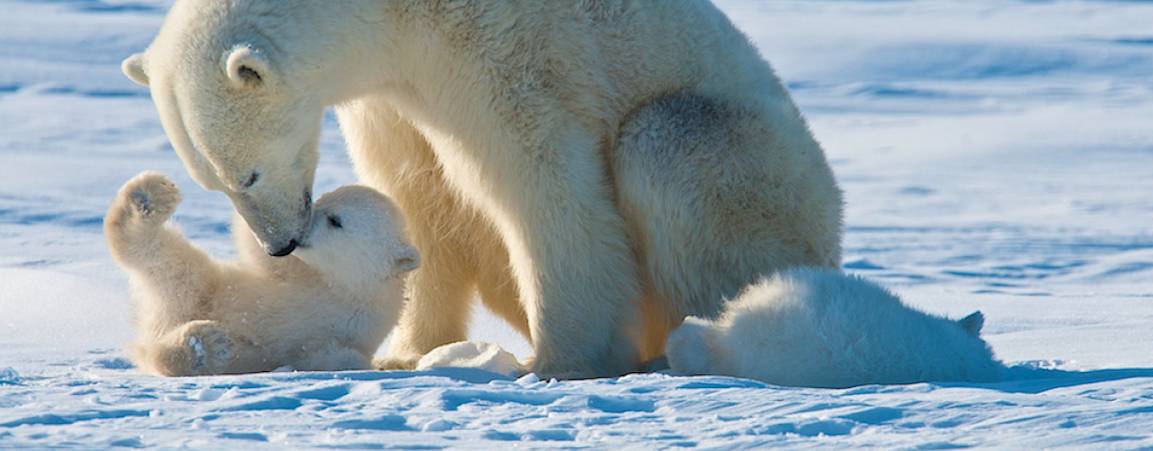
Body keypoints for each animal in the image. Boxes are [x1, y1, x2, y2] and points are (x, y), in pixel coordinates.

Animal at [104, 172, 419, 376]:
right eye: (321, 201)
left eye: (335, 220)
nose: (299, 228)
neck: (349, 287)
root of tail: (155, 326)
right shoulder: (301, 276)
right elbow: (263, 257)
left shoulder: (354, 324)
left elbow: (332, 355)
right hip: (204, 284)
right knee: (157, 254)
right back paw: (148, 197)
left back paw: (206, 347)